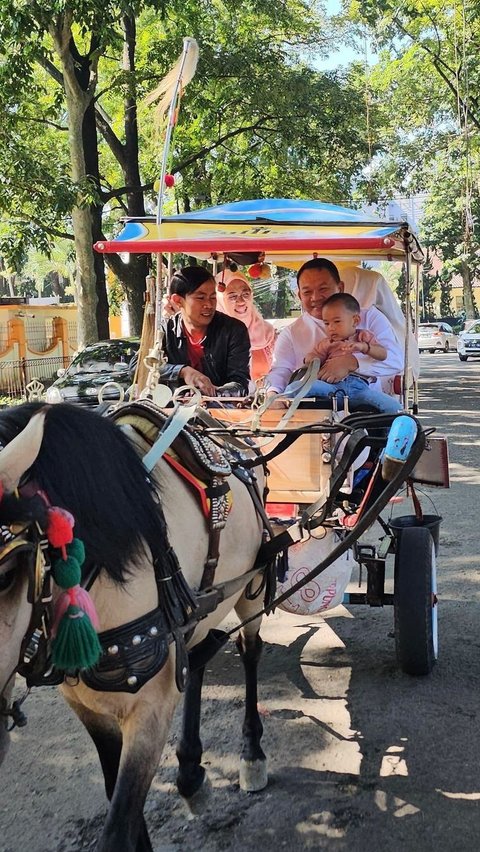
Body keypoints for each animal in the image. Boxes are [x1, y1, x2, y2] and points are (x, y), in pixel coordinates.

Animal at [0, 402, 270, 852]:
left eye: (5, 574)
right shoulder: (85, 704)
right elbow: (119, 802)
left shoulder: (149, 710)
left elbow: (119, 826)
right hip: (199, 609)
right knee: (197, 659)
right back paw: (190, 770)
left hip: (253, 585)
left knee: (251, 653)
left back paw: (252, 754)